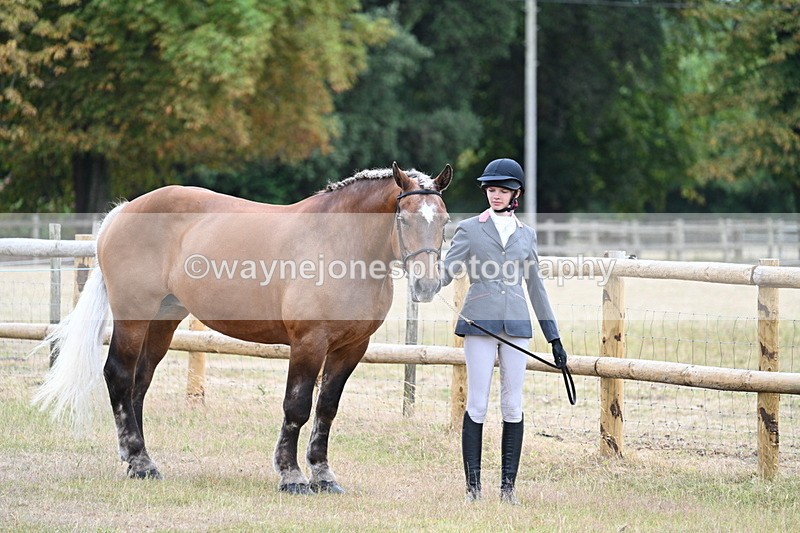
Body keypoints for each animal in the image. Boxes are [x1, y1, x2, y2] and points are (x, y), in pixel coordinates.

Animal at [34, 162, 452, 494]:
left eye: (444, 221)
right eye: (403, 218)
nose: (427, 284)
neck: (342, 245)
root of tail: (123, 212)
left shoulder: (352, 348)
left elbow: (327, 409)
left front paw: (323, 476)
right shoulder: (308, 343)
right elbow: (297, 406)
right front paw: (291, 476)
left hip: (162, 322)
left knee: (139, 383)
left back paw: (138, 460)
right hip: (133, 316)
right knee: (119, 376)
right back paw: (141, 462)